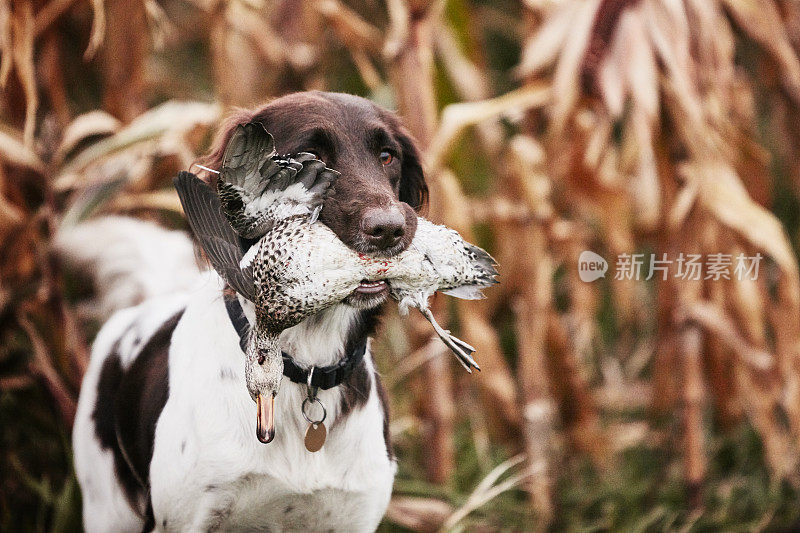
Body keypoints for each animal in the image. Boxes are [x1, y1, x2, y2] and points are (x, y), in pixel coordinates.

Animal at [67, 92, 432, 532]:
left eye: (386, 155)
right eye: (309, 156)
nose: (390, 229)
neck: (304, 368)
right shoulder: (188, 519)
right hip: (106, 506)